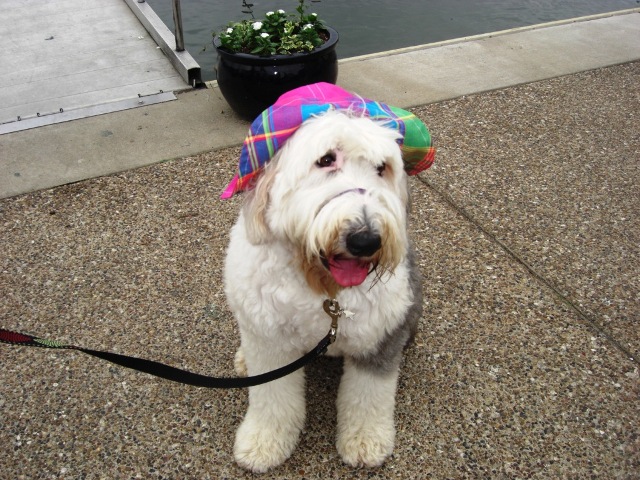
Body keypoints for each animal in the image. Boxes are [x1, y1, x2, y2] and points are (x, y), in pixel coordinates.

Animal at [222, 109, 422, 472]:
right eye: (326, 160)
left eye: (382, 168)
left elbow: (368, 396)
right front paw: (264, 442)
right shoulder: (271, 343)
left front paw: (365, 440)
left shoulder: (378, 337)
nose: (366, 239)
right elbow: (272, 398)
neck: (324, 292)